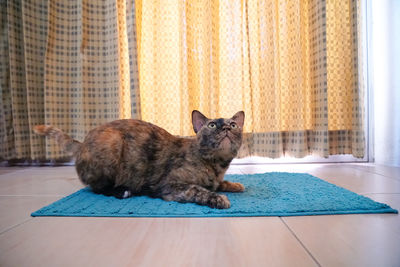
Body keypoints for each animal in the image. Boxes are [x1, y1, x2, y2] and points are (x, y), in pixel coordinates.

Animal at [34, 111, 245, 209]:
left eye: (234, 124)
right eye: (212, 125)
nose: (226, 127)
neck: (216, 165)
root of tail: (82, 143)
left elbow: (218, 184)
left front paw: (234, 185)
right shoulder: (170, 185)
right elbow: (198, 190)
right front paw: (218, 198)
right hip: (112, 142)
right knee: (97, 187)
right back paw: (123, 191)